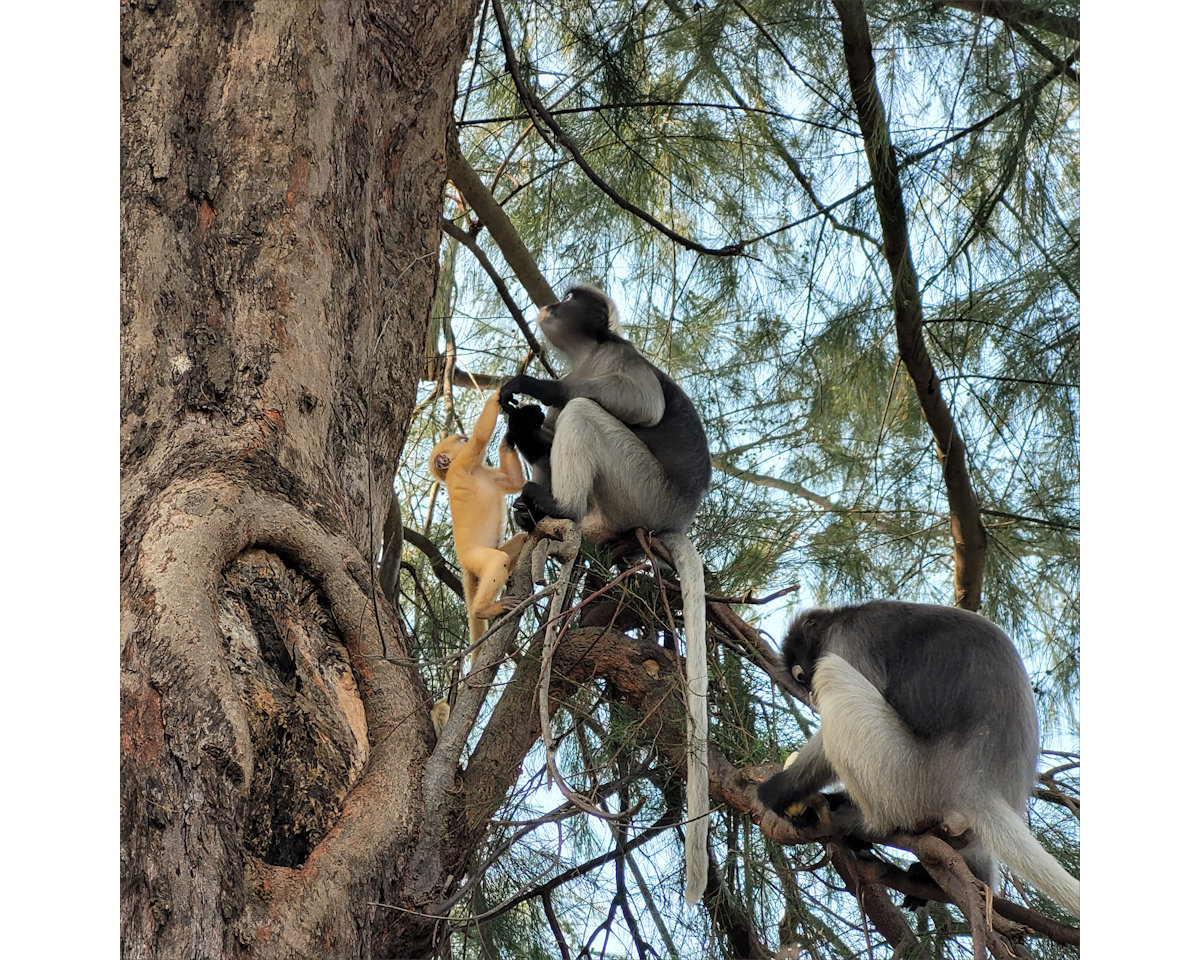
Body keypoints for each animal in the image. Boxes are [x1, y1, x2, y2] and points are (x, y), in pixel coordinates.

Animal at [427, 391, 528, 735]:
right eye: (460, 439)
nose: (462, 434)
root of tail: (466, 568)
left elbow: (513, 483)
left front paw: (511, 434)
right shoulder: (463, 464)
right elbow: (482, 439)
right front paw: (500, 395)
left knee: (519, 542)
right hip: (477, 557)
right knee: (496, 559)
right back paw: (485, 608)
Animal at [499, 284, 712, 904]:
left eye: (573, 299)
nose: (551, 303)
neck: (587, 356)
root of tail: (675, 516)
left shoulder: (621, 359)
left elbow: (639, 405)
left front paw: (539, 388)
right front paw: (523, 424)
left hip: (640, 488)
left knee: (587, 414)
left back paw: (560, 506)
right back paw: (542, 509)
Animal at [757, 601, 1080, 917]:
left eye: (801, 675)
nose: (810, 694)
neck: (845, 616)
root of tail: (977, 784)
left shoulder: (847, 643)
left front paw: (781, 789)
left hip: (908, 776)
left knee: (832, 674)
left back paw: (867, 824)